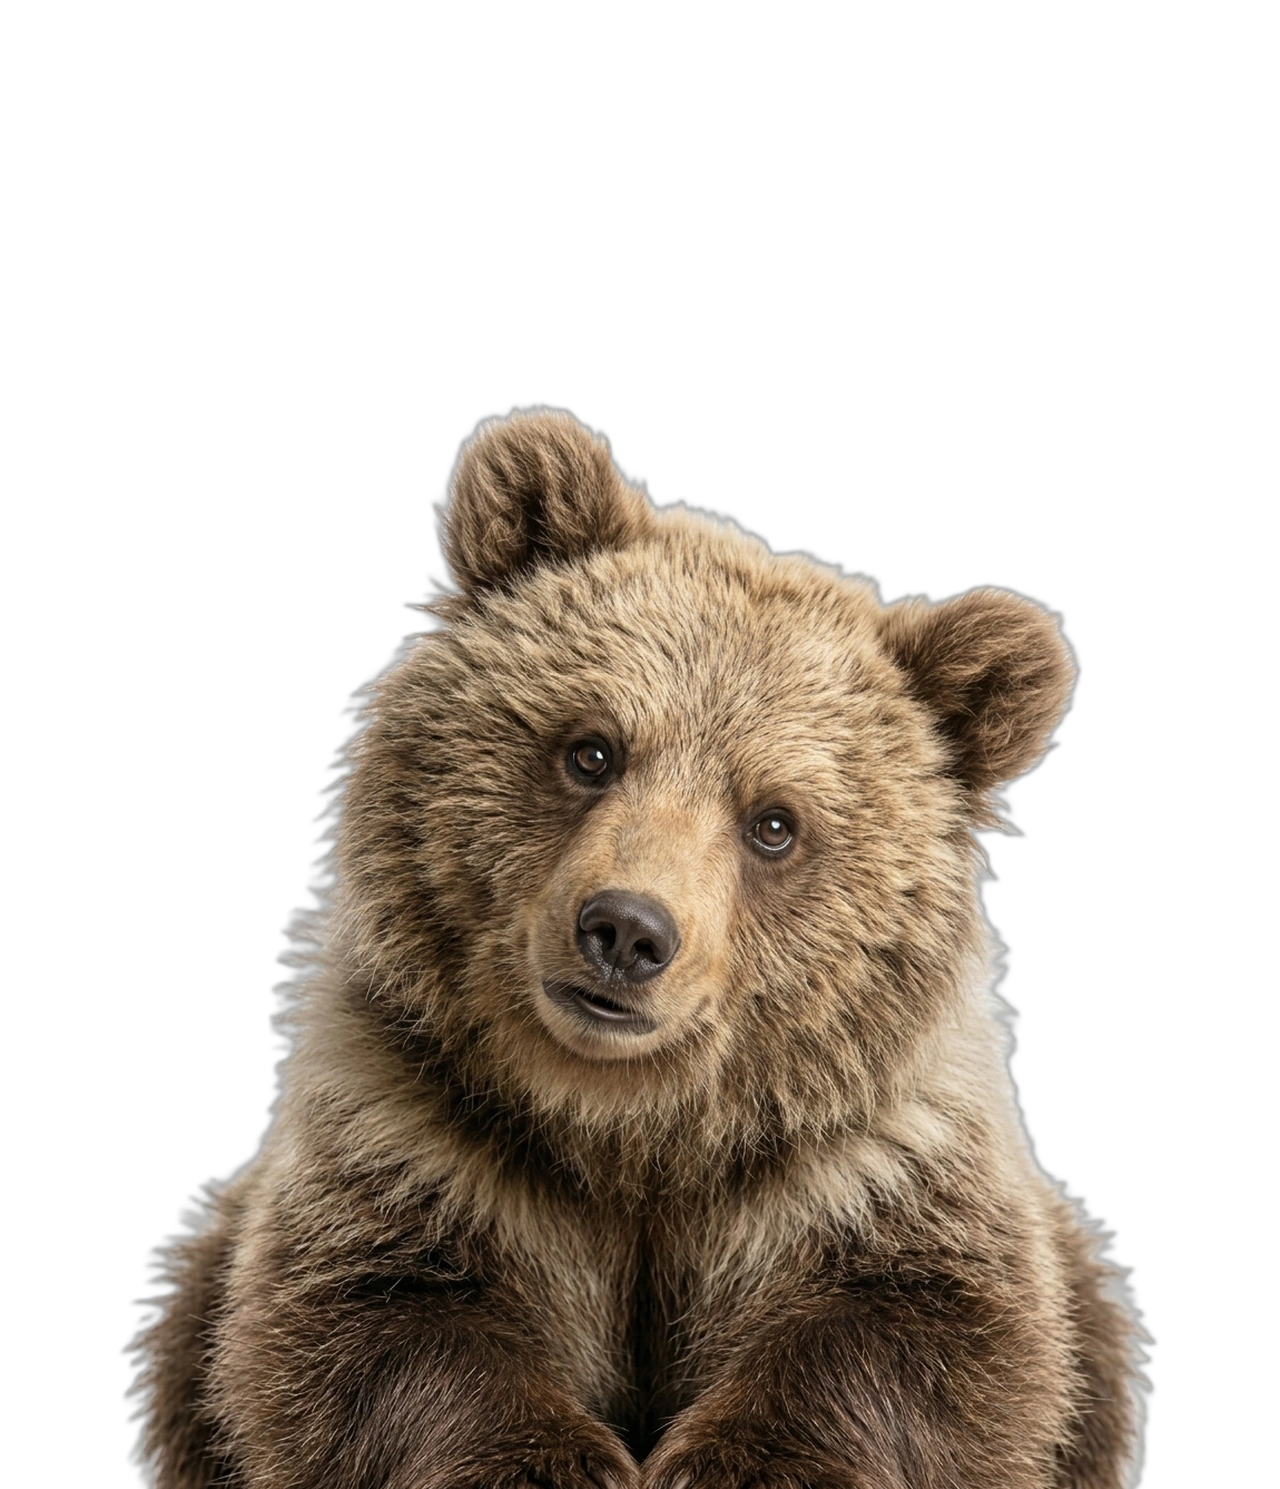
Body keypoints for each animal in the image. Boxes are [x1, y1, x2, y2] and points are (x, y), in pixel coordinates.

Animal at [133, 408, 1146, 1488]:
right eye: (591, 749)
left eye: (774, 822)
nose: (625, 929)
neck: (632, 1127)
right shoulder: (409, 1124)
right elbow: (367, 1324)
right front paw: (555, 1461)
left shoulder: (865, 1163)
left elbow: (926, 1331)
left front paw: (733, 1462)